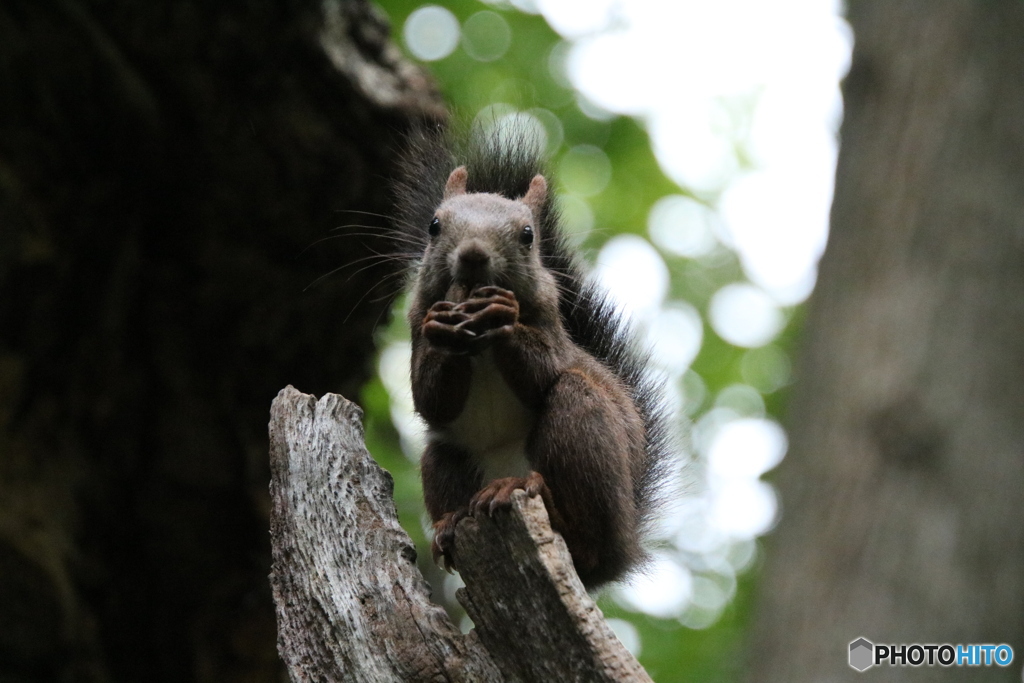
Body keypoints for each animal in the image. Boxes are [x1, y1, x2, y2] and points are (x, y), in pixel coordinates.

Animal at [387, 126, 667, 589]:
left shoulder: (551, 327)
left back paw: (534, 499)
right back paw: (450, 523)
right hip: (446, 455)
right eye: (434, 224)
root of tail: (621, 549)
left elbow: (542, 370)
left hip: (583, 430)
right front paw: (446, 330)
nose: (473, 255)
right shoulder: (416, 325)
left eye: (527, 234)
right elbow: (429, 398)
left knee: (584, 537)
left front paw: (504, 316)